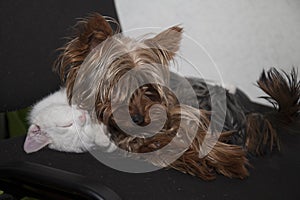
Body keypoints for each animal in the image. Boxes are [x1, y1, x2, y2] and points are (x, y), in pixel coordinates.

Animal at [53, 13, 298, 180]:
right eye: (117, 88)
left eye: (148, 89)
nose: (139, 120)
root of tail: (243, 112)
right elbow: (162, 149)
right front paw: (194, 160)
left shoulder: (186, 112)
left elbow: (196, 133)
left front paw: (229, 162)